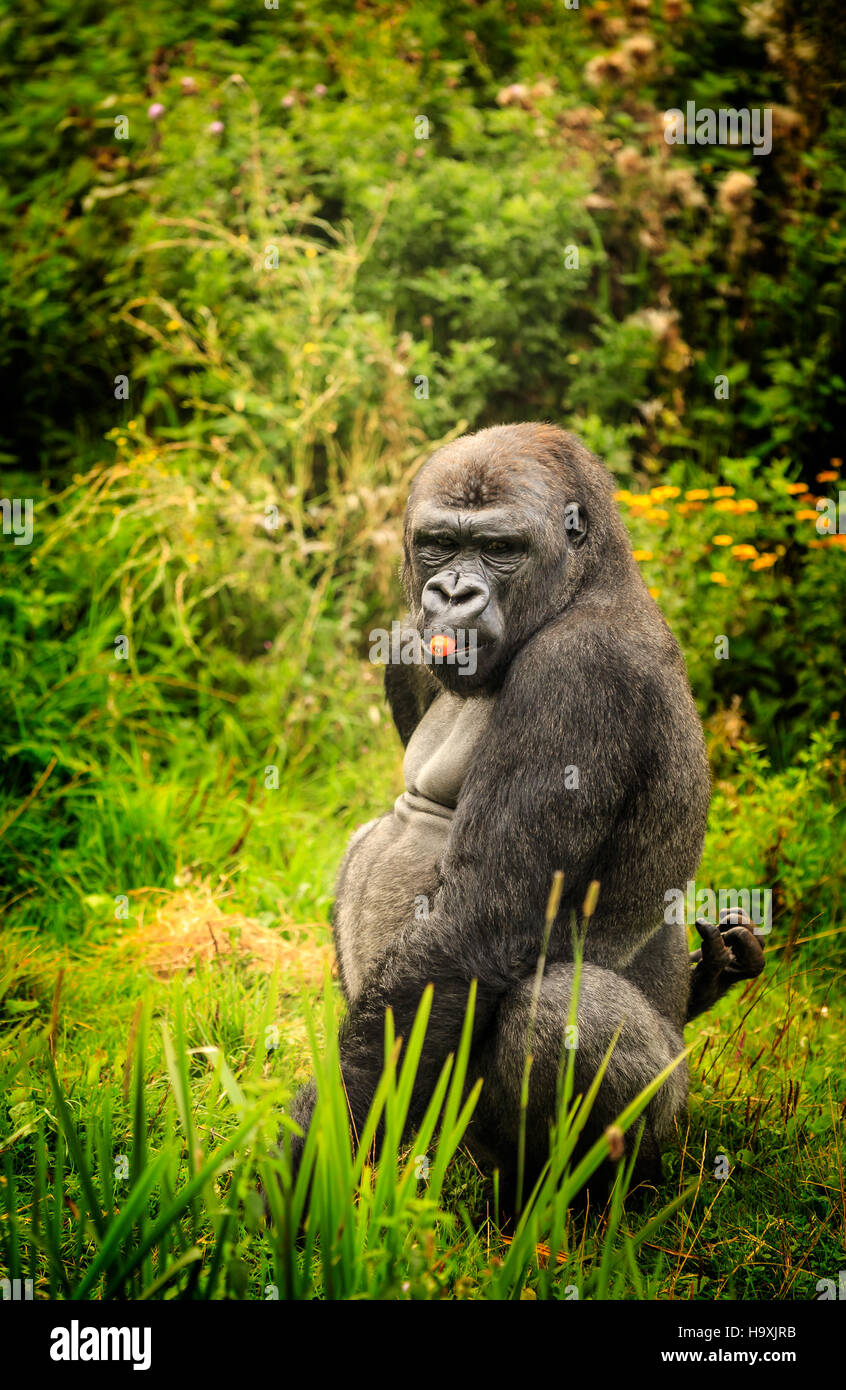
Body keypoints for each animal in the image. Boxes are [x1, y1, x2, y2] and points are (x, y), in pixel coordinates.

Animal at [287, 419, 761, 1195]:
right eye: (438, 543)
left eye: (501, 548)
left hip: (665, 1112)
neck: (588, 583)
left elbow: (477, 923)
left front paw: (302, 1157)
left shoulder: (582, 672)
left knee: (559, 1012)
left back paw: (578, 1197)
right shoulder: (409, 641)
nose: (452, 593)